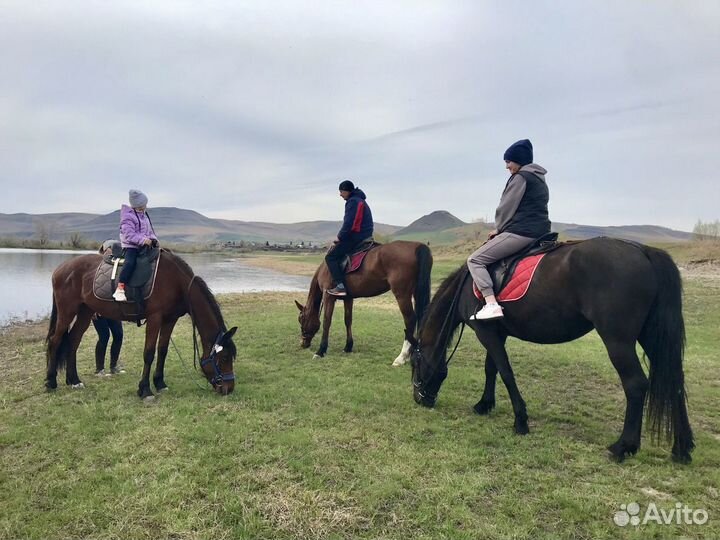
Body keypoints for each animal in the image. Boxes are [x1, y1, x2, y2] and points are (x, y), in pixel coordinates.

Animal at [45, 251, 239, 398]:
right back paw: (51, 382)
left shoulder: (170, 319)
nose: (229, 388)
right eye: (223, 358)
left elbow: (163, 351)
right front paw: (145, 389)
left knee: (73, 341)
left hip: (85, 312)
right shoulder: (155, 318)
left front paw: (160, 383)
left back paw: (74, 380)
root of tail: (60, 268)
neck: (178, 282)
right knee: (55, 341)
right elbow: (149, 353)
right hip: (67, 312)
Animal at [294, 242, 430, 364]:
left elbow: (327, 322)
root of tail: (418, 246)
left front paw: (321, 350)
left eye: (301, 319)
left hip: (402, 295)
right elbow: (348, 320)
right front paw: (348, 347)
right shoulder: (348, 298)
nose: (303, 343)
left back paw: (402, 357)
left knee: (410, 320)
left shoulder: (329, 297)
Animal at [414, 238, 696, 462]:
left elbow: (505, 373)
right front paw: (485, 404)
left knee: (636, 384)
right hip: (650, 336)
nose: (419, 399)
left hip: (618, 341)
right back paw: (681, 449)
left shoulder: (486, 333)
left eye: (415, 363)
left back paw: (623, 447)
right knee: (674, 381)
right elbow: (490, 369)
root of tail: (642, 250)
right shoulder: (496, 333)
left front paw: (520, 421)